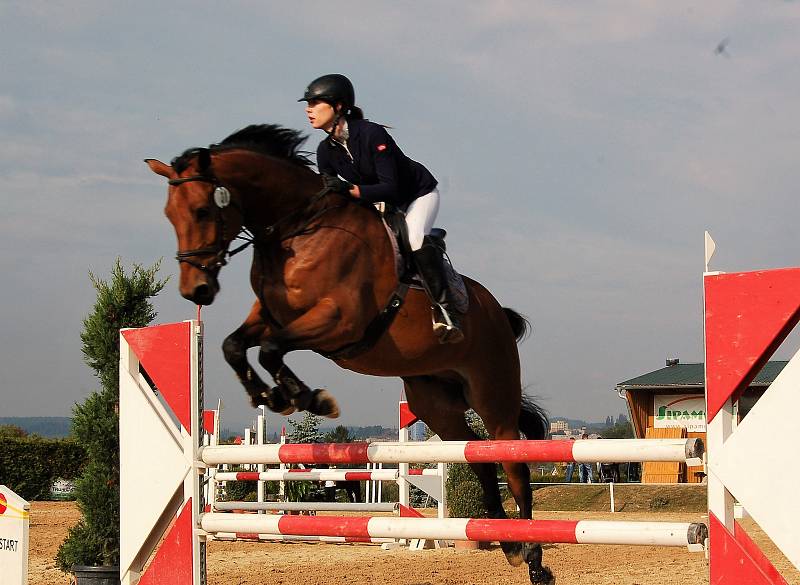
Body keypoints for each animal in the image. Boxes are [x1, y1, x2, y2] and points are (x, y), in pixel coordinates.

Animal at [145, 124, 552, 584]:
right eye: (170, 215)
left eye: (201, 211)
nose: (195, 291)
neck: (295, 228)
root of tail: (497, 311)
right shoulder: (270, 316)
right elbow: (236, 346)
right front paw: (273, 395)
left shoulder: (338, 322)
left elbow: (270, 350)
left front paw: (308, 398)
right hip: (435, 402)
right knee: (479, 458)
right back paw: (508, 543)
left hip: (492, 393)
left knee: (513, 463)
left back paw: (534, 560)